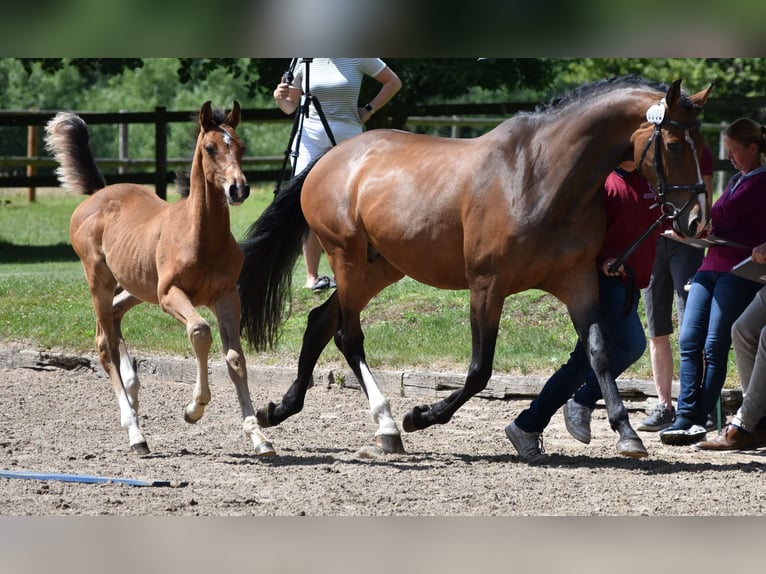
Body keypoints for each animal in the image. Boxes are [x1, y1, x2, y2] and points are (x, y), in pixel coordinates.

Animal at [44, 101, 276, 457]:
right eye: (210, 148)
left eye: (240, 146)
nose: (238, 188)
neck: (201, 236)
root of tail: (97, 194)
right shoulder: (169, 294)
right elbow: (199, 332)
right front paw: (194, 409)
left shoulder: (226, 295)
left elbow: (236, 359)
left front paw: (259, 436)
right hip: (100, 280)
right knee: (105, 346)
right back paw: (135, 432)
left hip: (136, 287)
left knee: (115, 316)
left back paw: (132, 391)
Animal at [239, 76, 712, 459]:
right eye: (673, 146)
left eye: (704, 147)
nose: (695, 222)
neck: (540, 178)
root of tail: (331, 158)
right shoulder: (487, 285)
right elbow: (479, 370)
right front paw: (420, 415)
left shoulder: (579, 282)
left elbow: (597, 351)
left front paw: (626, 431)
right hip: (347, 258)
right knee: (346, 335)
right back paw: (388, 426)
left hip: (381, 267)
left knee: (320, 322)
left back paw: (278, 409)